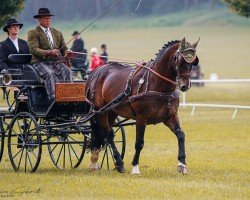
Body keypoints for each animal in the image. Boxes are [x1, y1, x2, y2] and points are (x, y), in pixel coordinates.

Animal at [85, 37, 199, 173]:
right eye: (180, 60)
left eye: (193, 62)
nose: (185, 85)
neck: (157, 83)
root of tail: (95, 72)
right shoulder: (141, 118)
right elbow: (139, 142)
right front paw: (135, 167)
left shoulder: (170, 116)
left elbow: (181, 135)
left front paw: (182, 164)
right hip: (100, 111)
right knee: (108, 134)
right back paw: (118, 162)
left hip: (111, 111)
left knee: (104, 133)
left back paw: (96, 163)